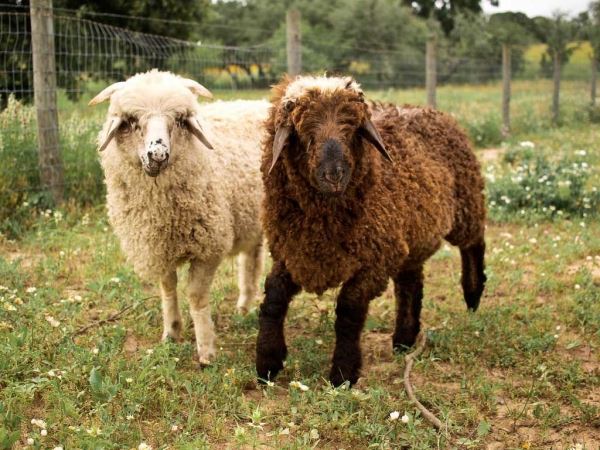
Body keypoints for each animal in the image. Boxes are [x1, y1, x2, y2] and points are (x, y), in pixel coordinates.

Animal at [89, 71, 268, 366]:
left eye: (179, 120)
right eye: (132, 121)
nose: (158, 154)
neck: (163, 212)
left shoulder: (209, 247)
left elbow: (195, 297)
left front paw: (206, 351)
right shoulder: (159, 245)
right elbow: (167, 288)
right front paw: (171, 332)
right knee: (251, 260)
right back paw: (244, 306)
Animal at [255, 74, 486, 386]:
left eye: (352, 130)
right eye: (303, 132)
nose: (334, 174)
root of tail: (435, 113)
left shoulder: (376, 259)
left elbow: (349, 309)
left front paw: (343, 372)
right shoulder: (293, 255)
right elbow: (273, 296)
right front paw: (267, 362)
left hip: (466, 203)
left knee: (474, 242)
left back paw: (473, 293)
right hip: (411, 236)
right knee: (410, 282)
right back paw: (404, 339)